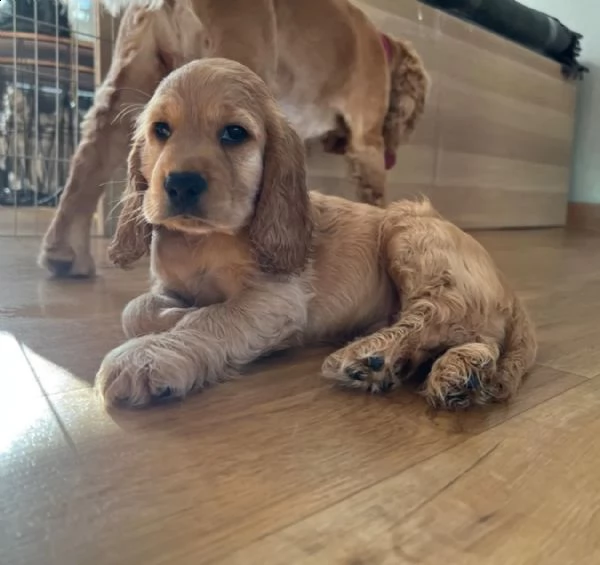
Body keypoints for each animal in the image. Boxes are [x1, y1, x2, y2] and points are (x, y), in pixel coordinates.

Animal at [96, 58, 536, 410]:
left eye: (234, 133)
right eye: (161, 129)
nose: (181, 184)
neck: (201, 241)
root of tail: (508, 289)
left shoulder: (277, 298)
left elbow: (211, 319)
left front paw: (149, 355)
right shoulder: (169, 285)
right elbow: (135, 309)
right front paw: (172, 316)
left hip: (411, 233)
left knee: (437, 312)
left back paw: (372, 356)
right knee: (479, 335)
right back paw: (456, 371)